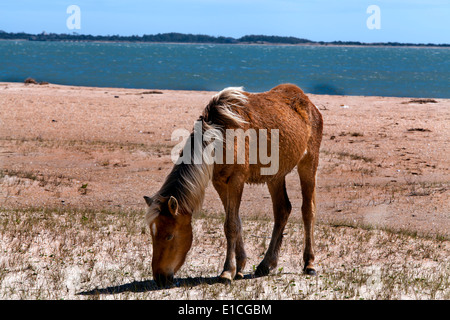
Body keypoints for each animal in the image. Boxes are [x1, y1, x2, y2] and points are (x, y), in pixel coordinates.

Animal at [144, 84, 324, 286]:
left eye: (169, 235)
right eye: (152, 234)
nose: (160, 277)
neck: (220, 137)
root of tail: (308, 103)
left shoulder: (236, 180)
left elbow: (230, 225)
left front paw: (227, 272)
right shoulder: (220, 182)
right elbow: (235, 222)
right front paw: (240, 267)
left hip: (309, 162)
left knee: (308, 211)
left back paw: (309, 263)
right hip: (275, 176)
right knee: (282, 211)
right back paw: (266, 264)